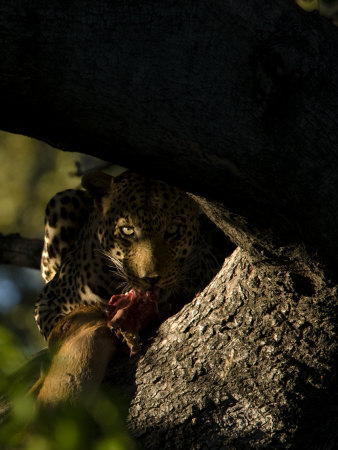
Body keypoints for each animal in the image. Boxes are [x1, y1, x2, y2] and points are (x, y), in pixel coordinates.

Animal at [34, 171, 231, 340]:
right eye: (127, 230)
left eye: (173, 230)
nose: (152, 279)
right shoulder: (49, 300)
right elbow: (57, 326)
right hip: (61, 201)